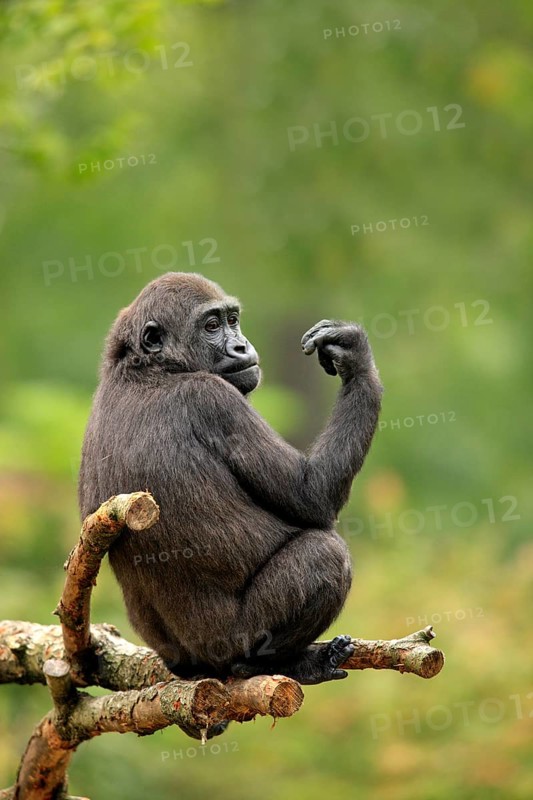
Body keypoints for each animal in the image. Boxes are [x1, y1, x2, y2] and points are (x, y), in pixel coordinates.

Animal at [79, 272, 383, 686]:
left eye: (232, 320)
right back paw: (266, 664)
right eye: (211, 326)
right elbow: (312, 494)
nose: (241, 345)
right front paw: (356, 358)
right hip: (233, 642)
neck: (147, 367)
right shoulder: (213, 399)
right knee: (324, 554)